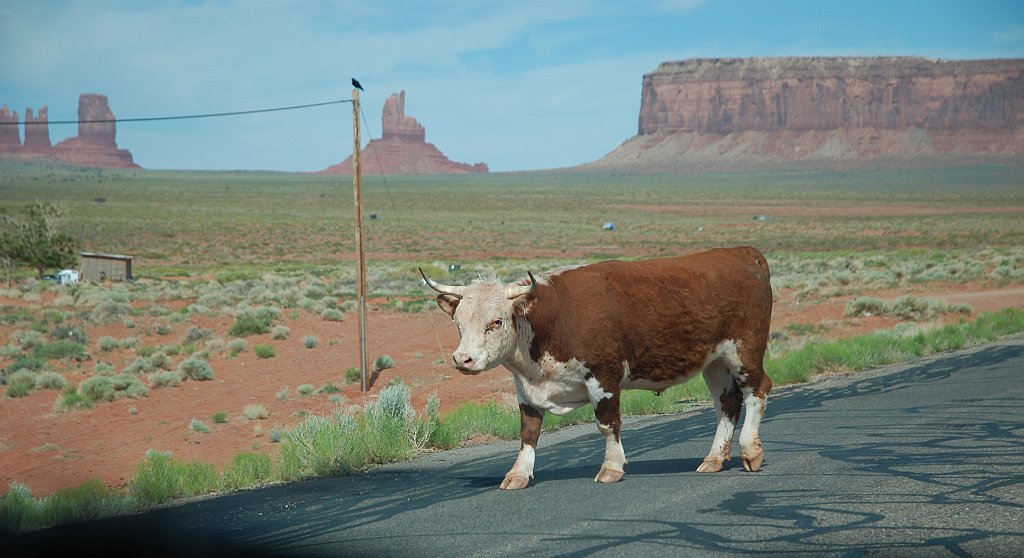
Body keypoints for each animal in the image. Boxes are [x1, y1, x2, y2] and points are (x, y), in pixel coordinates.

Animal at [419, 246, 770, 487]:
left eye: (496, 321)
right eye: (458, 323)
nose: (462, 359)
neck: (554, 318)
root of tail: (743, 253)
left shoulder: (603, 377)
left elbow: (607, 423)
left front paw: (611, 467)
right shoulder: (526, 388)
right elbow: (529, 431)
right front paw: (518, 474)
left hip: (744, 351)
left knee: (757, 392)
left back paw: (750, 452)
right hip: (715, 361)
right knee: (727, 403)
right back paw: (714, 458)